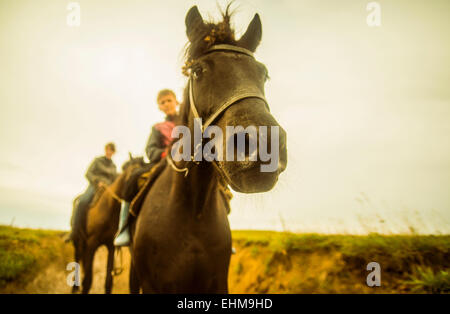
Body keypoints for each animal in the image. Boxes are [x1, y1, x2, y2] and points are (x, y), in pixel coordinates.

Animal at [71, 156, 144, 294]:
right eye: (137, 177)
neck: (108, 209)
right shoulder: (92, 243)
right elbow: (88, 280)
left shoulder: (111, 246)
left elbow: (108, 281)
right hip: (78, 241)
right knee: (77, 259)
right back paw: (74, 288)